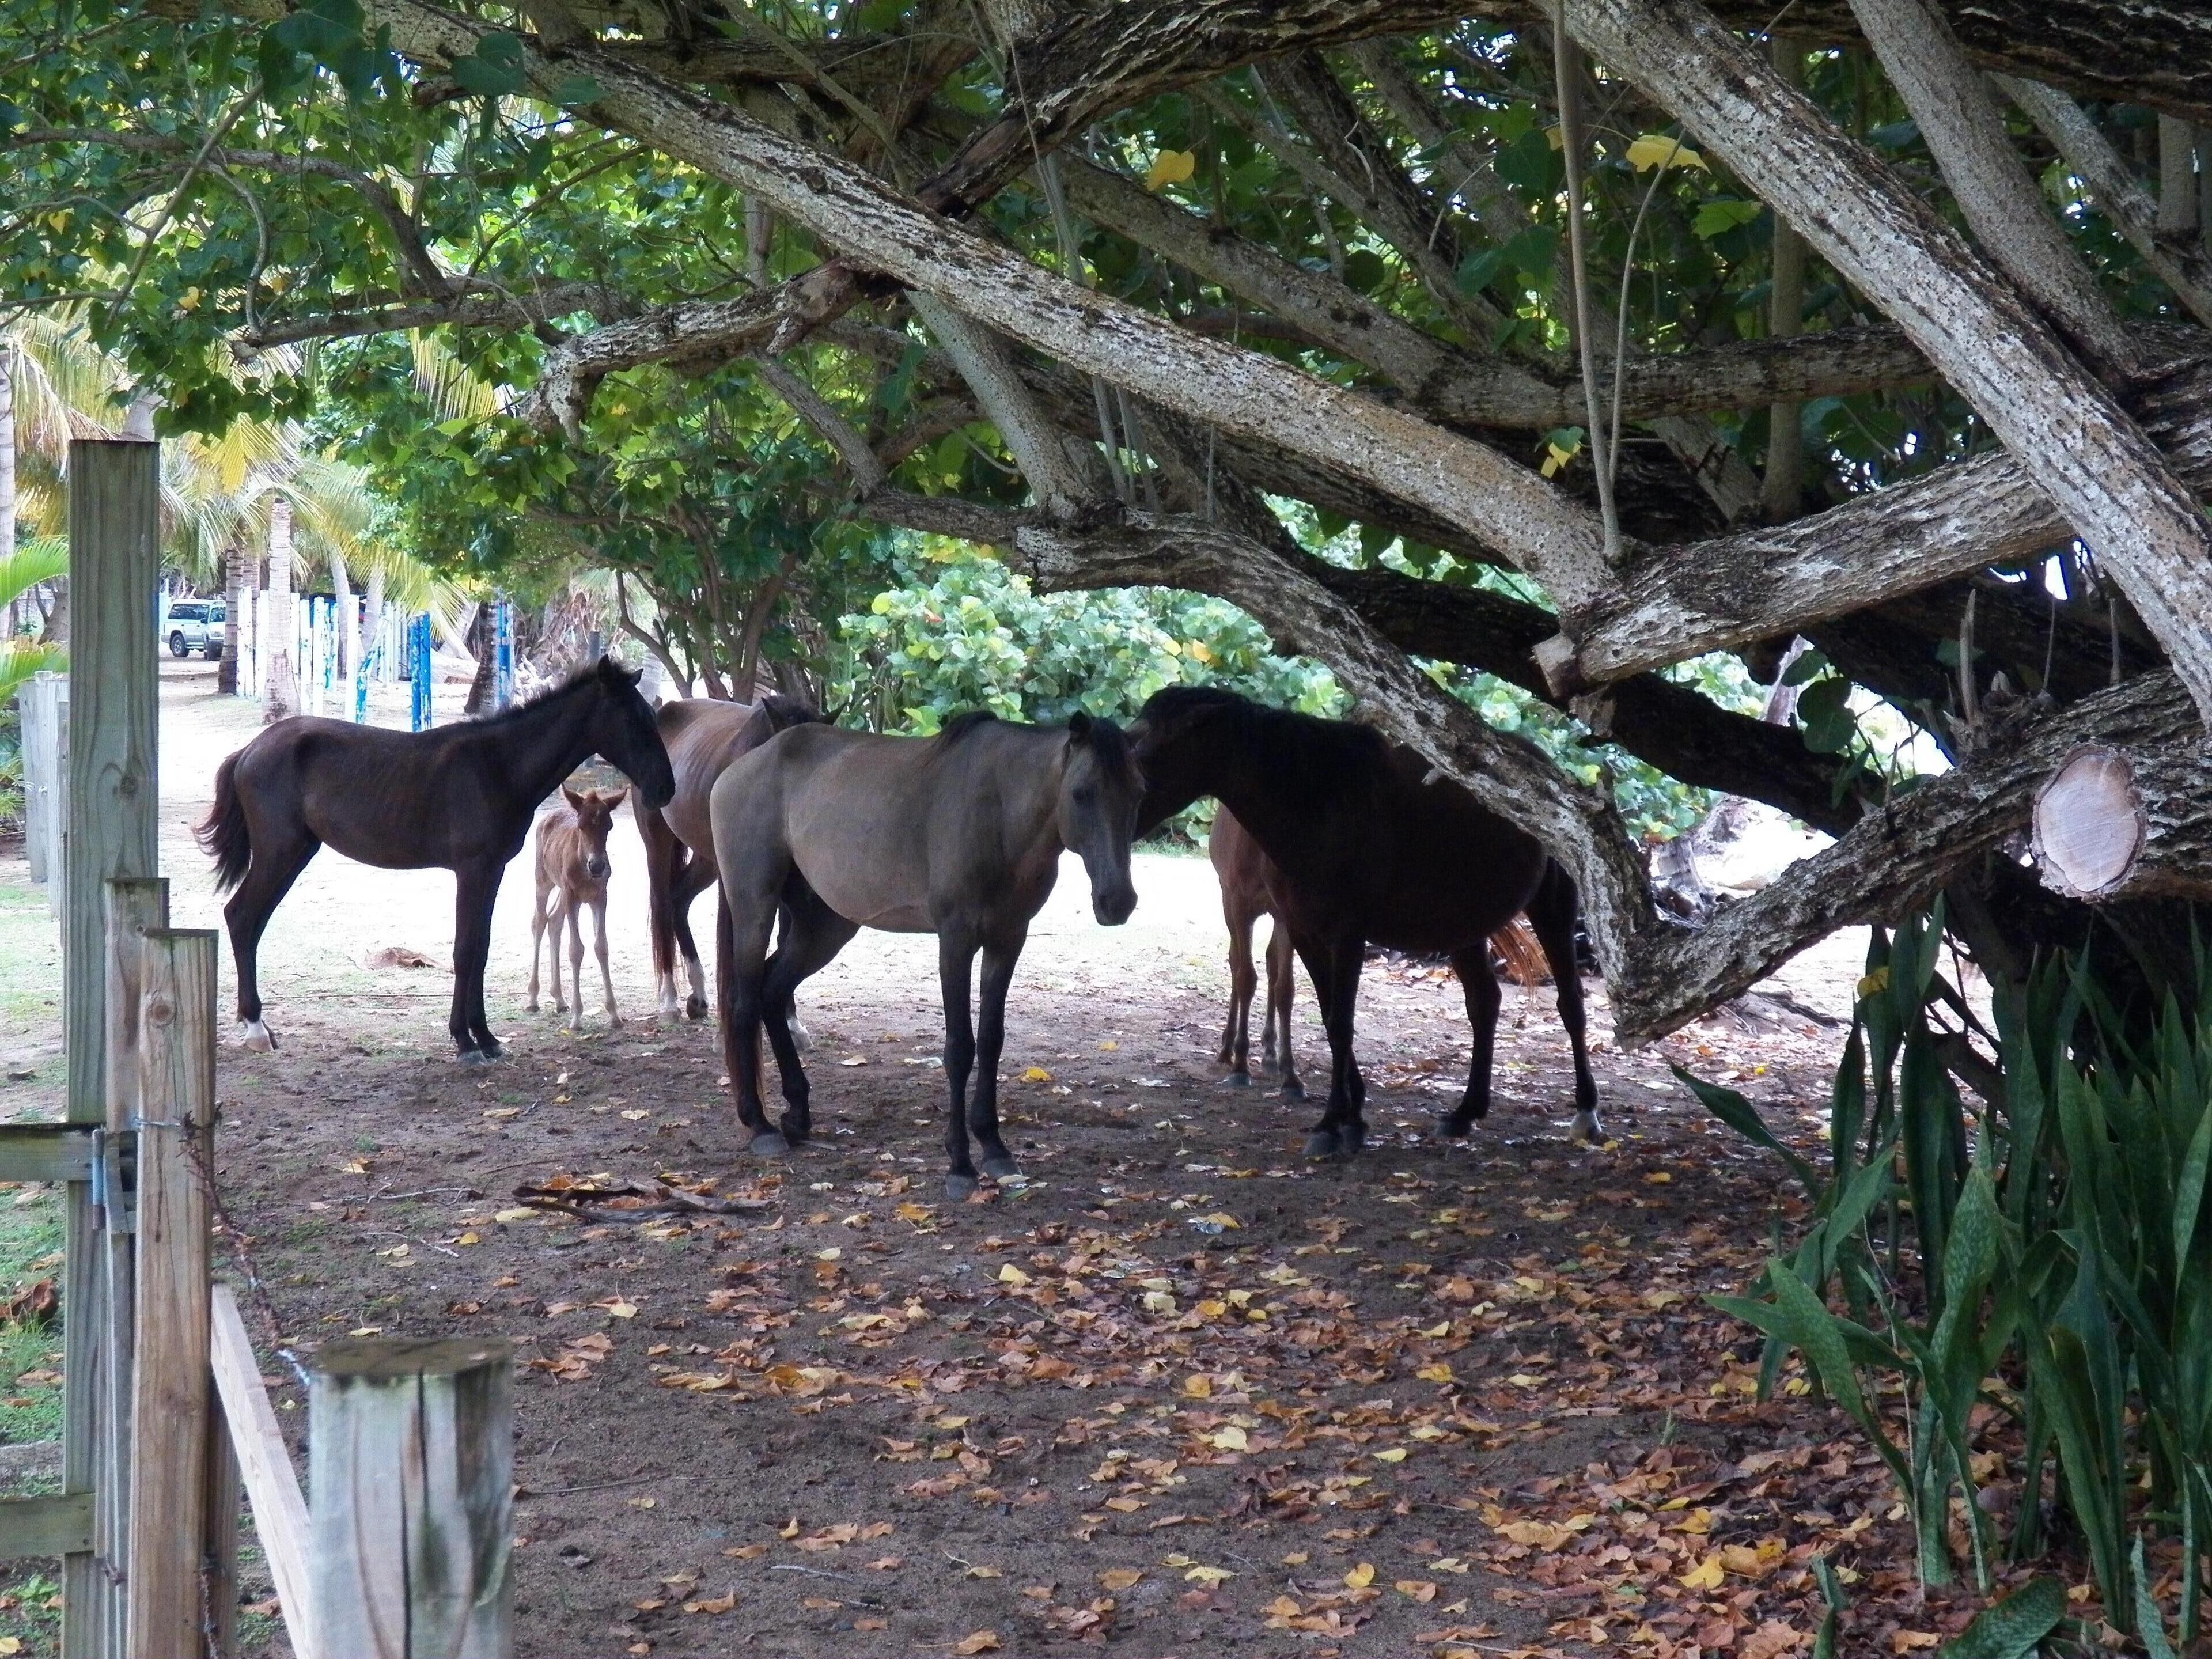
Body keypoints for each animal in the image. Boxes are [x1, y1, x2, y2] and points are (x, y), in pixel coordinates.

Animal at [528, 785, 629, 1031]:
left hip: (562, 891)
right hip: (544, 880)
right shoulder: (572, 896)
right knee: (539, 921)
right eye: (581, 825)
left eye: (609, 826)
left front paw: (614, 1014)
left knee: (554, 921)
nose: (598, 866)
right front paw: (577, 1017)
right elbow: (575, 949)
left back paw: (559, 999)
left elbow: (601, 946)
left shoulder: (600, 896)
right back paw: (534, 998)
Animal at [636, 694, 820, 1022]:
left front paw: (791, 1020)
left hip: (706, 860)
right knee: (662, 906)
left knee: (678, 900)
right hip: (657, 843)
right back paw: (669, 1000)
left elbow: (785, 939)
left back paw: (698, 997)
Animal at [708, 711, 1144, 1196]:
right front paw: (960, 1165)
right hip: (755, 910)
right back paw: (760, 1126)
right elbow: (959, 1048)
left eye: (1138, 792)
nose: (1117, 902)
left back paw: (798, 1116)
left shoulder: (1008, 939)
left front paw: (994, 1147)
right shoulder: (955, 941)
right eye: (1081, 793)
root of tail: (740, 769)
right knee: (744, 1003)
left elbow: (991, 1041)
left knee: (772, 991)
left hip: (823, 928)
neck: (999, 813)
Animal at [1132, 686, 1598, 1157]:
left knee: (1570, 1003)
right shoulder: (1304, 933)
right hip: (1465, 928)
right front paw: (1352, 1118)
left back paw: (1586, 1112)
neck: (1317, 805)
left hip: (1553, 909)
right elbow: (1328, 1016)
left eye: (1145, 750)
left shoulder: (1347, 937)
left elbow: (1340, 1024)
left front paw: (1331, 1123)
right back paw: (1465, 1112)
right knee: (1485, 1003)